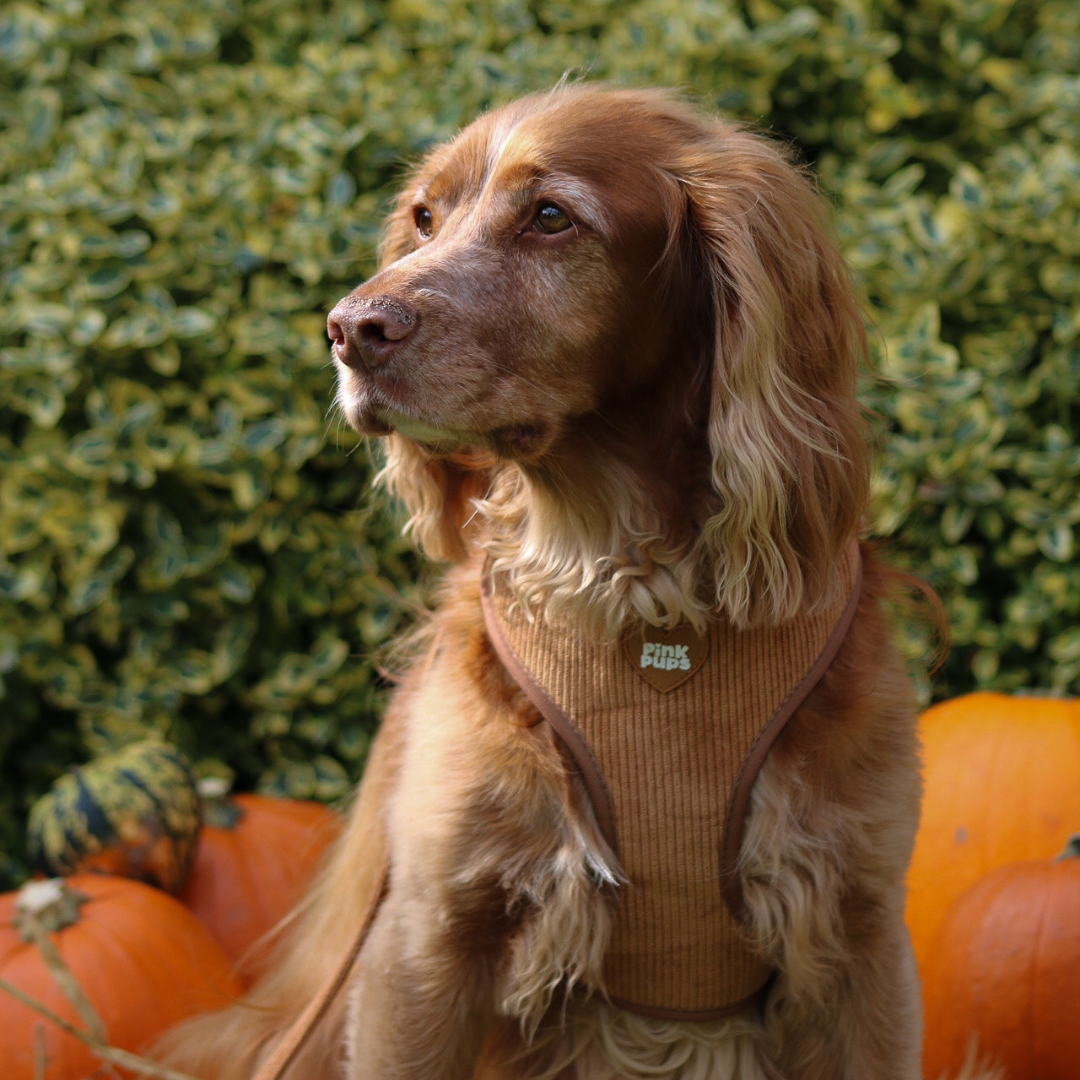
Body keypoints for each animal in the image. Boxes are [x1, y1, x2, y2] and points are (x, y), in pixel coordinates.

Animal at [156, 84, 924, 1080]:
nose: (349, 329)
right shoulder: (428, 937)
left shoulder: (859, 934)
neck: (633, 596)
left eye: (551, 217)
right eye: (426, 217)